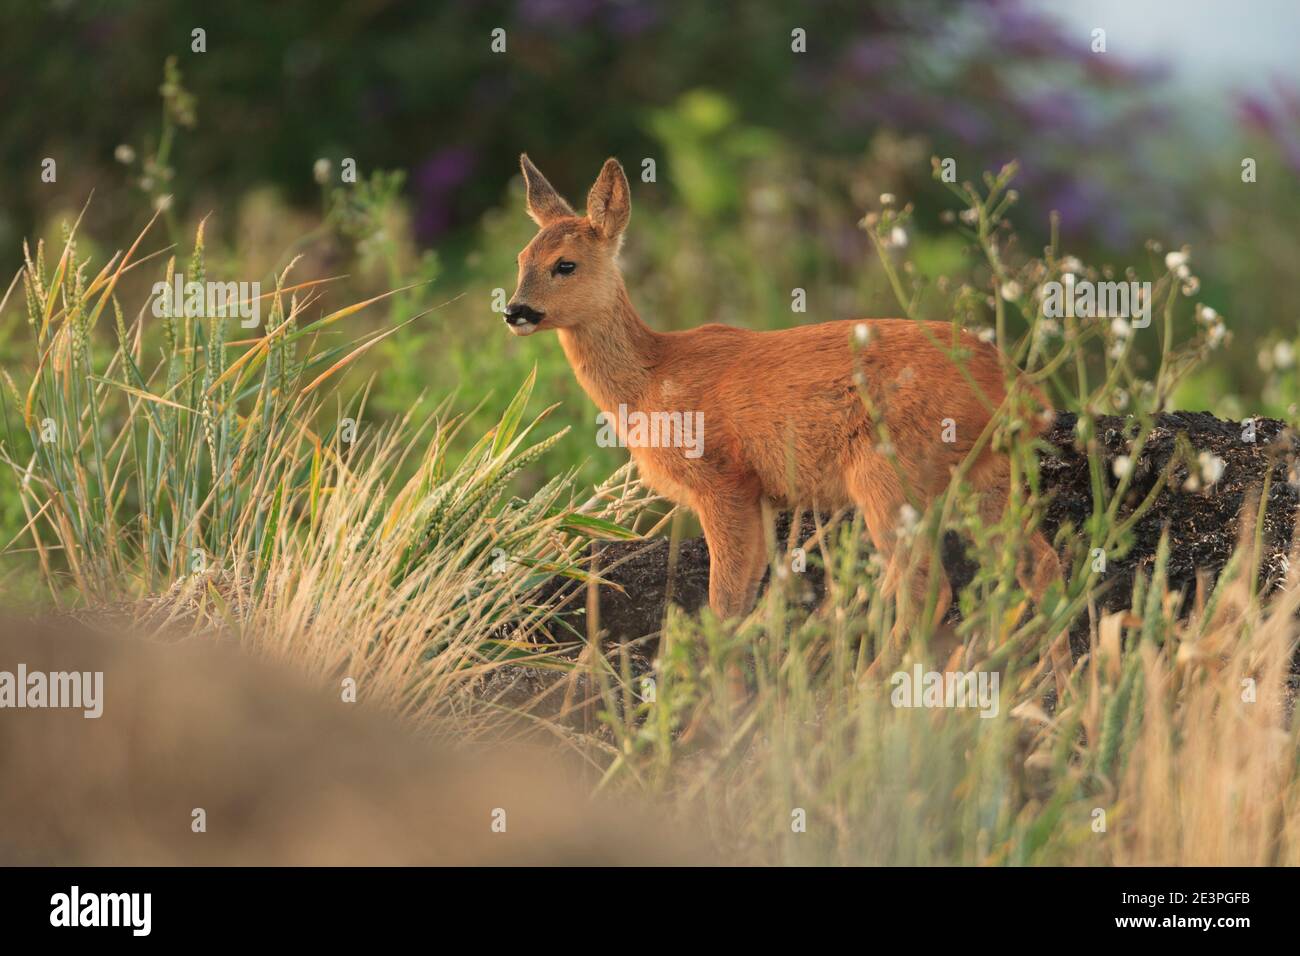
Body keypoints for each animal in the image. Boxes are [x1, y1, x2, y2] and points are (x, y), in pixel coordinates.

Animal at [505, 154, 1071, 687]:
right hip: (987, 479)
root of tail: (1022, 393)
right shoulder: (759, 498)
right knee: (1041, 569)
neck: (653, 379)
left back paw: (861, 694)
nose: (514, 311)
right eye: (521, 259)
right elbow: (740, 607)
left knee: (928, 591)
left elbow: (723, 608)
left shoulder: (724, 481)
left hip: (890, 475)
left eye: (565, 264)